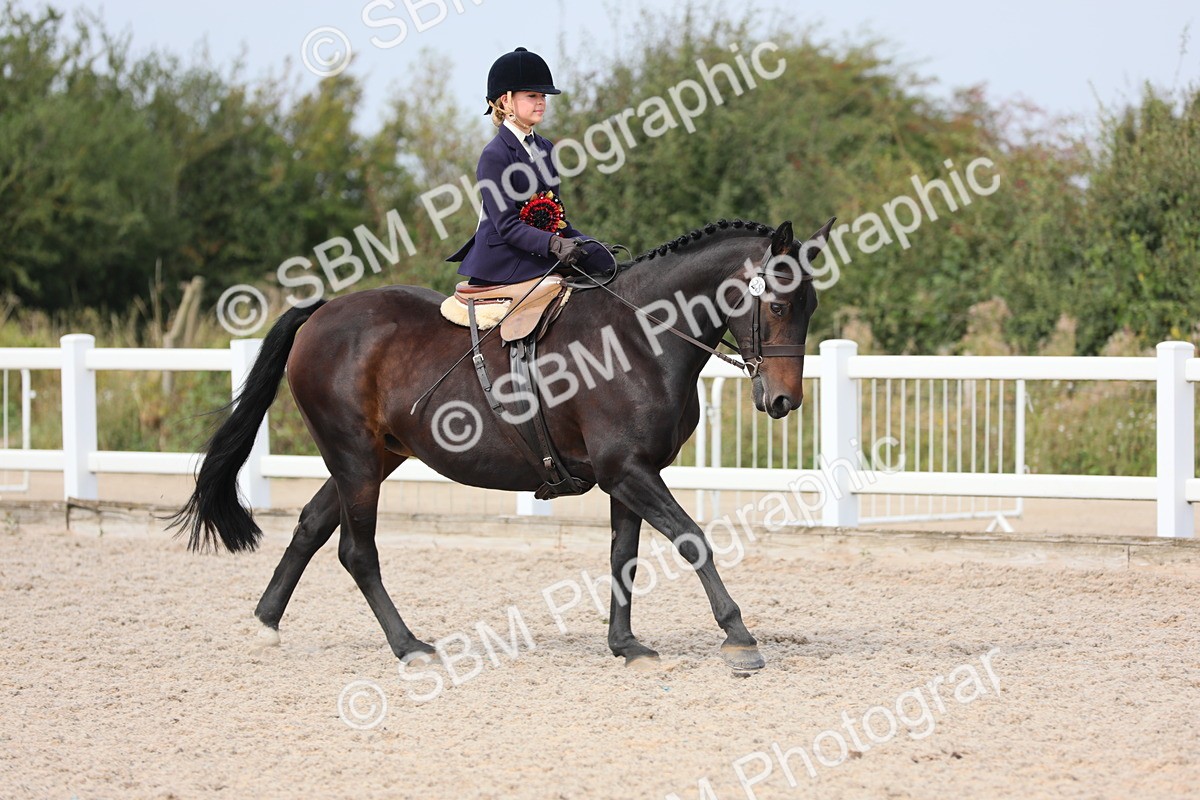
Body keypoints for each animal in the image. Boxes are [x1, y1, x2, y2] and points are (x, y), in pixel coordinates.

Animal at [172, 216, 834, 672]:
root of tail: (325, 310)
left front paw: (625, 645)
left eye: (809, 305)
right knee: (357, 552)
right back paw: (408, 645)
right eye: (779, 305)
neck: (638, 336)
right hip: (355, 457)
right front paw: (738, 636)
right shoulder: (629, 471)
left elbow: (623, 556)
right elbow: (693, 540)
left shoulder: (631, 473)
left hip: (373, 458)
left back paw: (266, 623)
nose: (783, 401)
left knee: (311, 524)